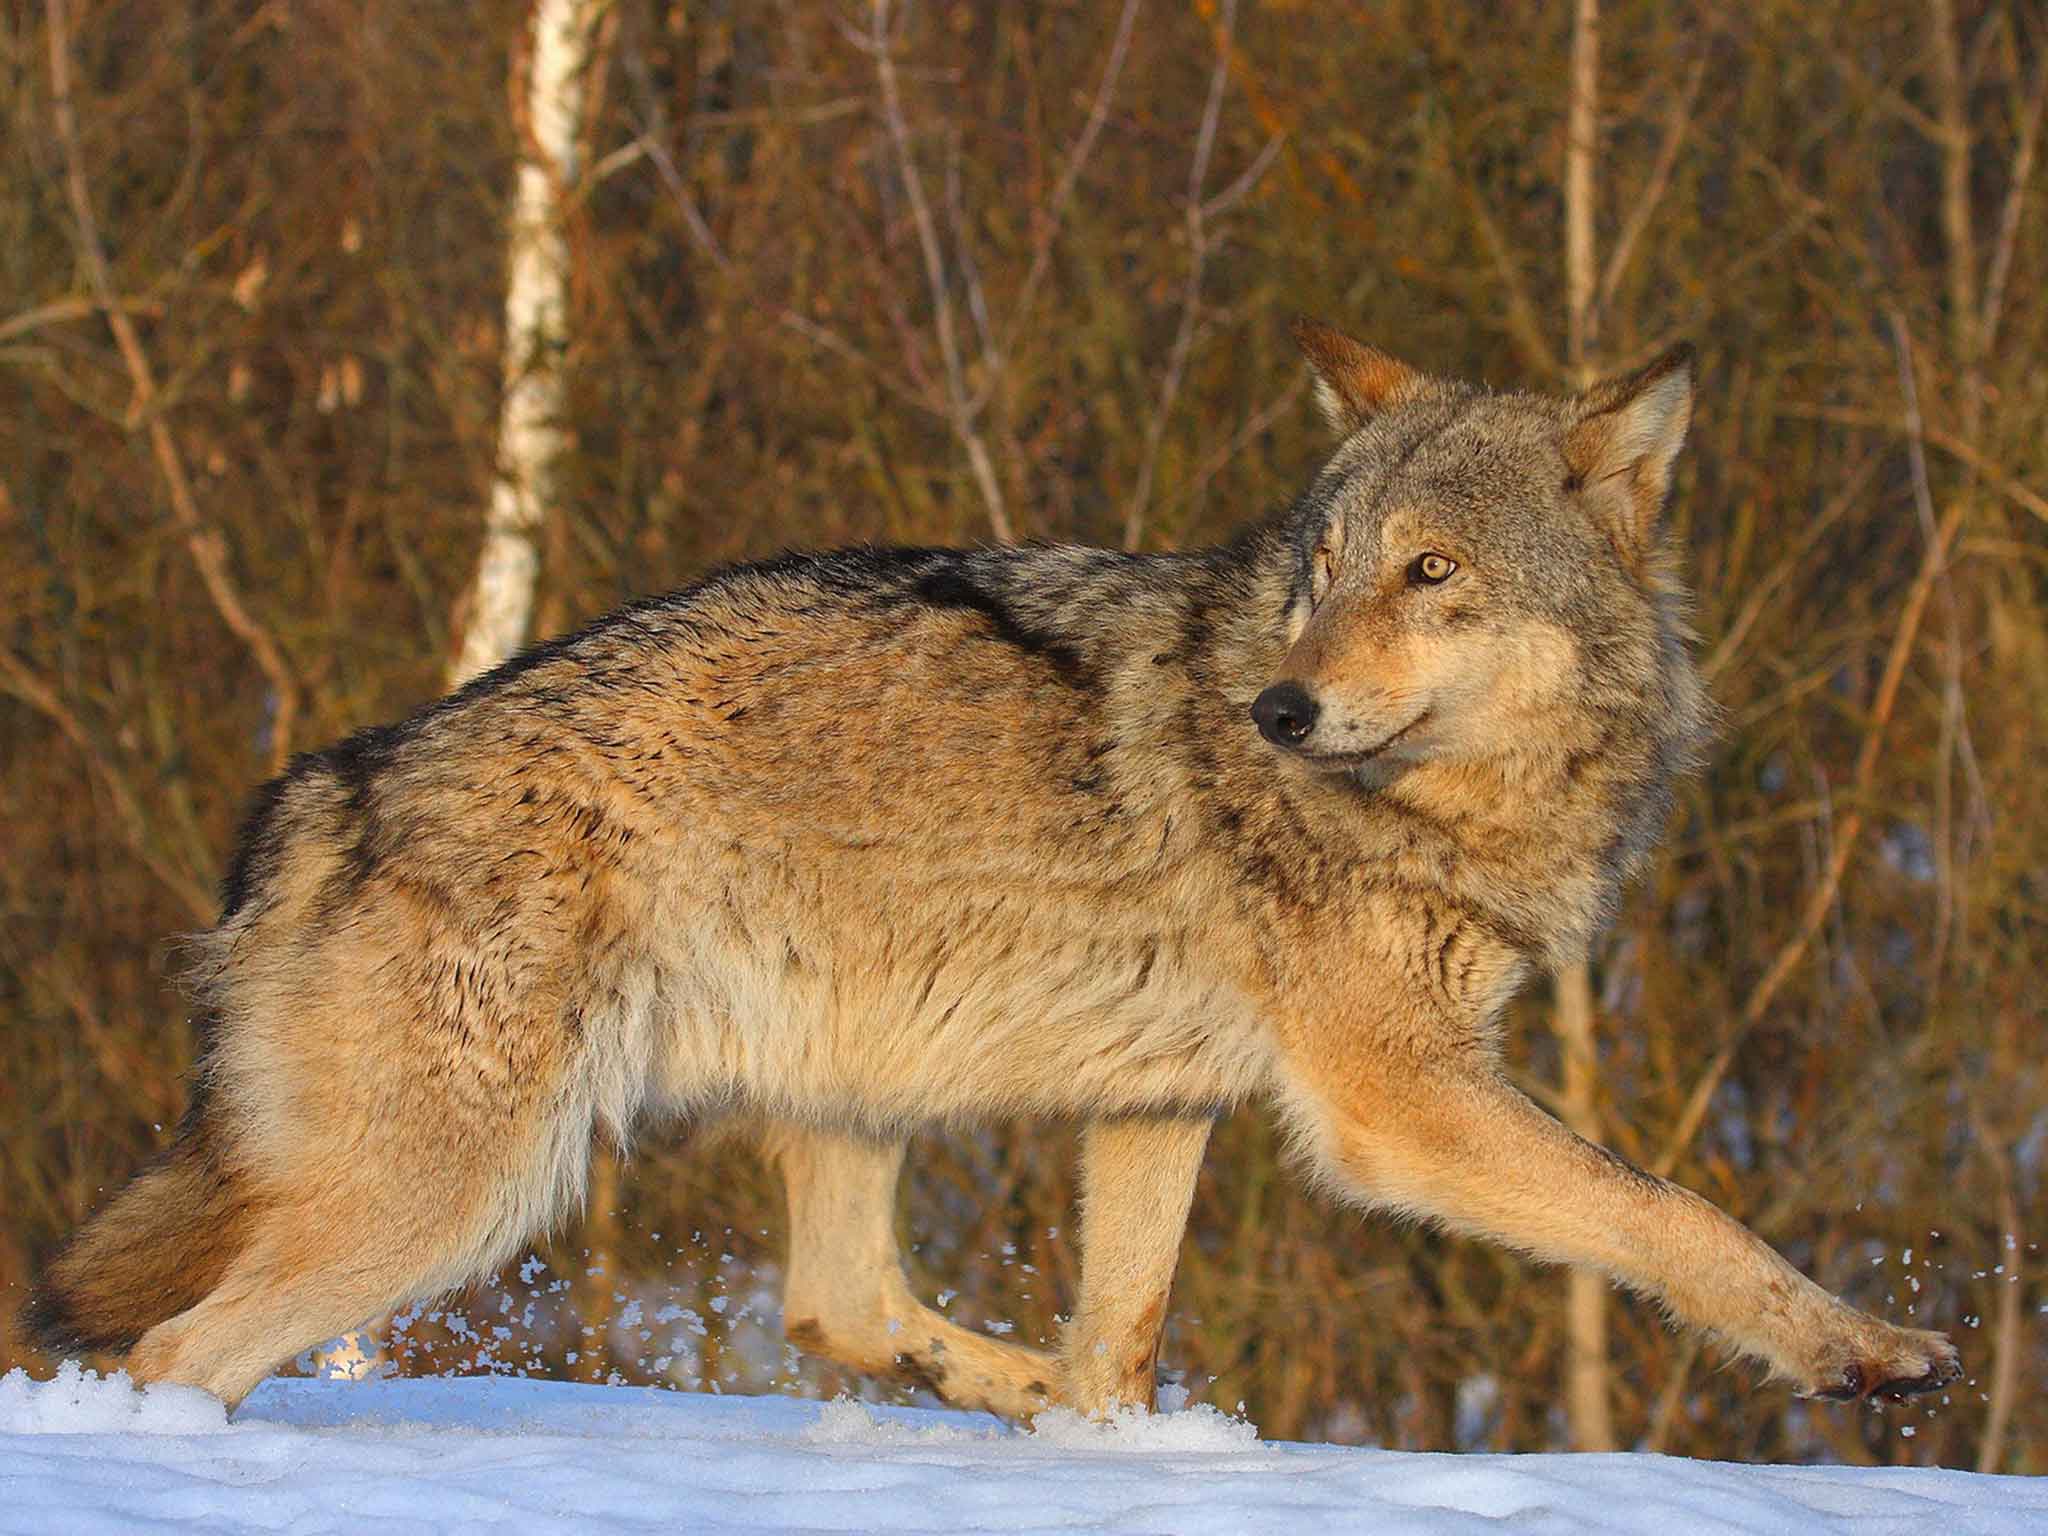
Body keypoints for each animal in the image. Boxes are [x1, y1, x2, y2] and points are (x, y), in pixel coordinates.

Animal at [19, 321, 1966, 1417]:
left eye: (1430, 574)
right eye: (1328, 569)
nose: (1277, 705)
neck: (1447, 804)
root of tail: (319, 788)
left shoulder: (1158, 1105)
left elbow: (1124, 1325)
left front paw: (1109, 1434)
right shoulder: (1396, 1102)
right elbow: (1677, 1217)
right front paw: (1861, 1351)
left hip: (841, 1094)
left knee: (841, 1305)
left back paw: (1032, 1404)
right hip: (465, 1196)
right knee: (176, 1357)